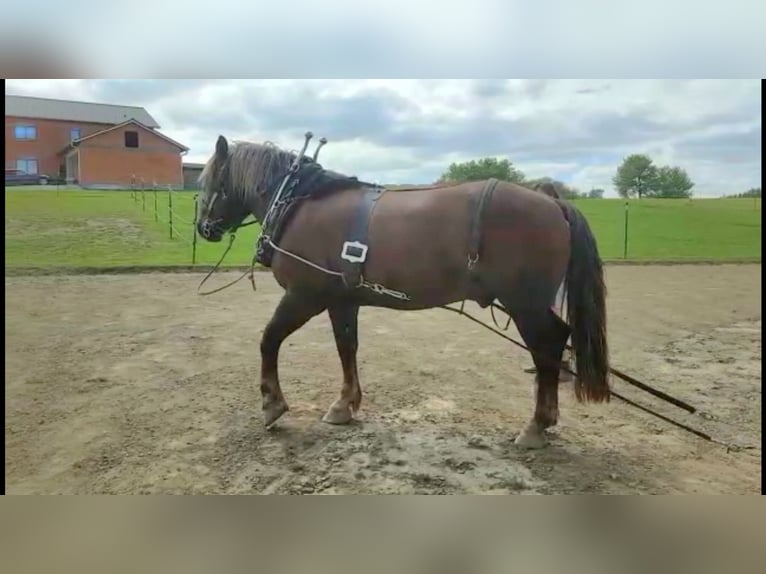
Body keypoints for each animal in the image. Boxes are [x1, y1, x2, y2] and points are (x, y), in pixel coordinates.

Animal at [196, 134, 612, 450]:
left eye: (206, 182)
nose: (203, 228)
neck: (299, 204)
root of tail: (553, 203)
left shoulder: (305, 296)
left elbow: (269, 339)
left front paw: (272, 403)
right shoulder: (342, 301)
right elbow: (347, 348)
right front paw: (345, 405)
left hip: (525, 305)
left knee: (548, 348)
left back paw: (536, 425)